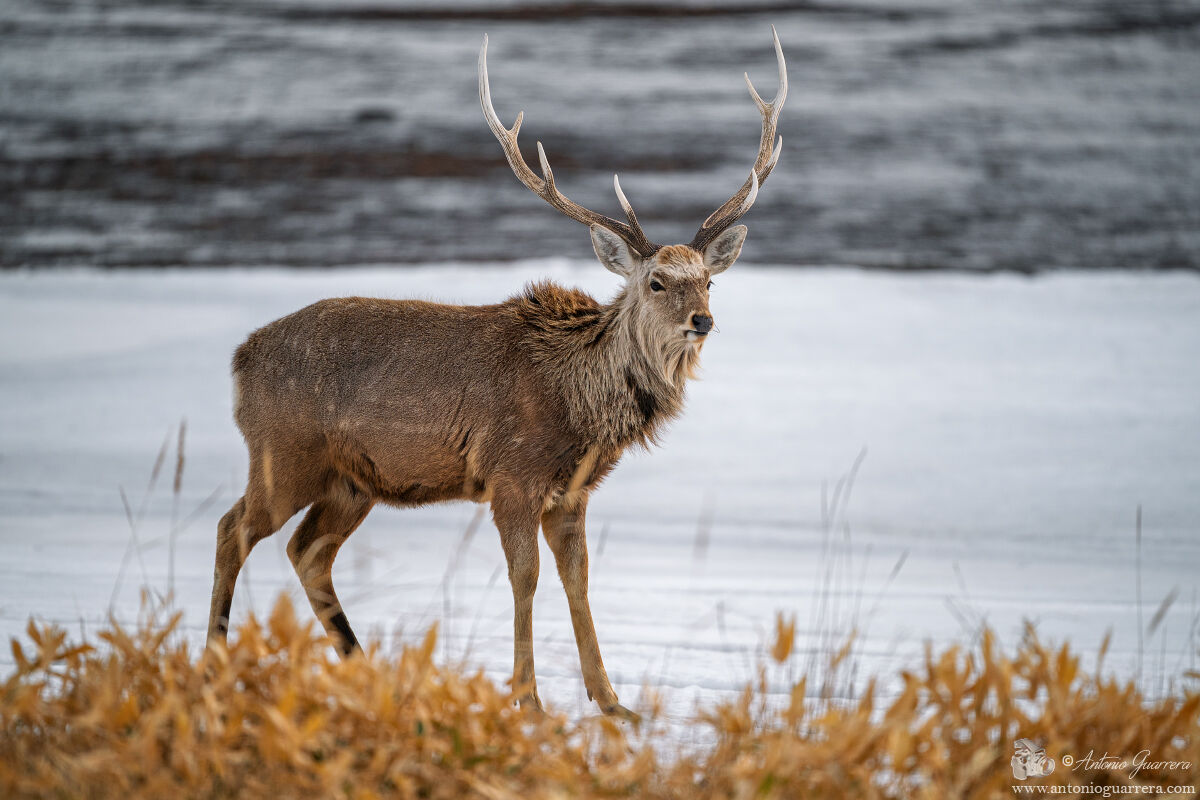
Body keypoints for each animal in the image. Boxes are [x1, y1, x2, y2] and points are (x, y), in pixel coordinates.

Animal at [207, 28, 786, 719]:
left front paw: (612, 701)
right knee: (233, 530)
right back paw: (210, 663)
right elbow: (525, 579)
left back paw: (364, 669)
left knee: (307, 551)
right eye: (656, 281)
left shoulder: (571, 492)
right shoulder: (512, 474)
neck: (578, 403)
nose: (702, 320)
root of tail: (239, 360)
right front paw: (528, 698)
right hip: (283, 453)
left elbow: (578, 580)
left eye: (709, 280)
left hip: (353, 481)